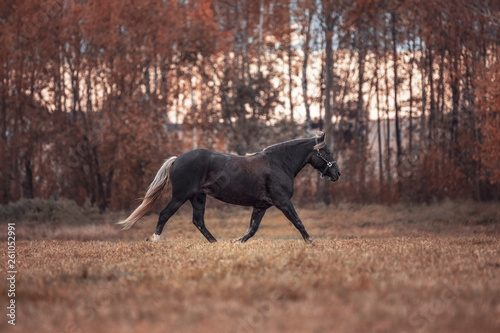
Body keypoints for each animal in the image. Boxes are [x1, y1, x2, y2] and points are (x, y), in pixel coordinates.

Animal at [118, 131, 340, 243]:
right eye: (326, 151)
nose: (337, 173)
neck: (279, 163)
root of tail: (177, 159)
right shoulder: (283, 202)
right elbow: (298, 222)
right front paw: (311, 242)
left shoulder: (261, 206)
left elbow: (252, 229)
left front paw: (236, 242)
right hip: (181, 196)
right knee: (165, 214)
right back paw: (154, 240)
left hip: (198, 197)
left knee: (198, 221)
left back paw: (216, 243)